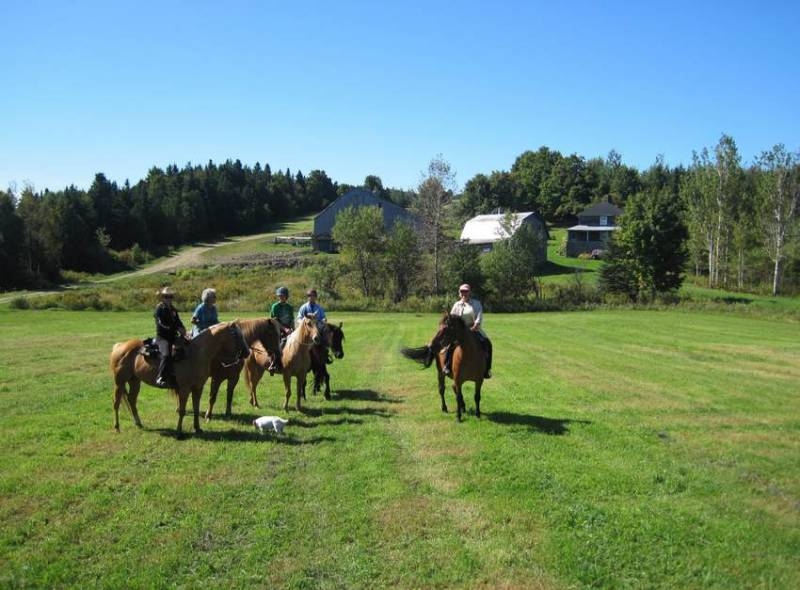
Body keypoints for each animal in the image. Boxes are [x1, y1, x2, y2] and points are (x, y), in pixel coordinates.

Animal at [111, 322, 250, 438]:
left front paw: (198, 428)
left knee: (132, 400)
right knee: (116, 403)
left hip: (134, 381)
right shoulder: (184, 389)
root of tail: (119, 346)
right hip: (120, 382)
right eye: (236, 335)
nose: (247, 352)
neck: (195, 354)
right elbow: (182, 411)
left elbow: (196, 408)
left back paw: (138, 423)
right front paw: (179, 432)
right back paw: (117, 427)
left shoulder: (198, 388)